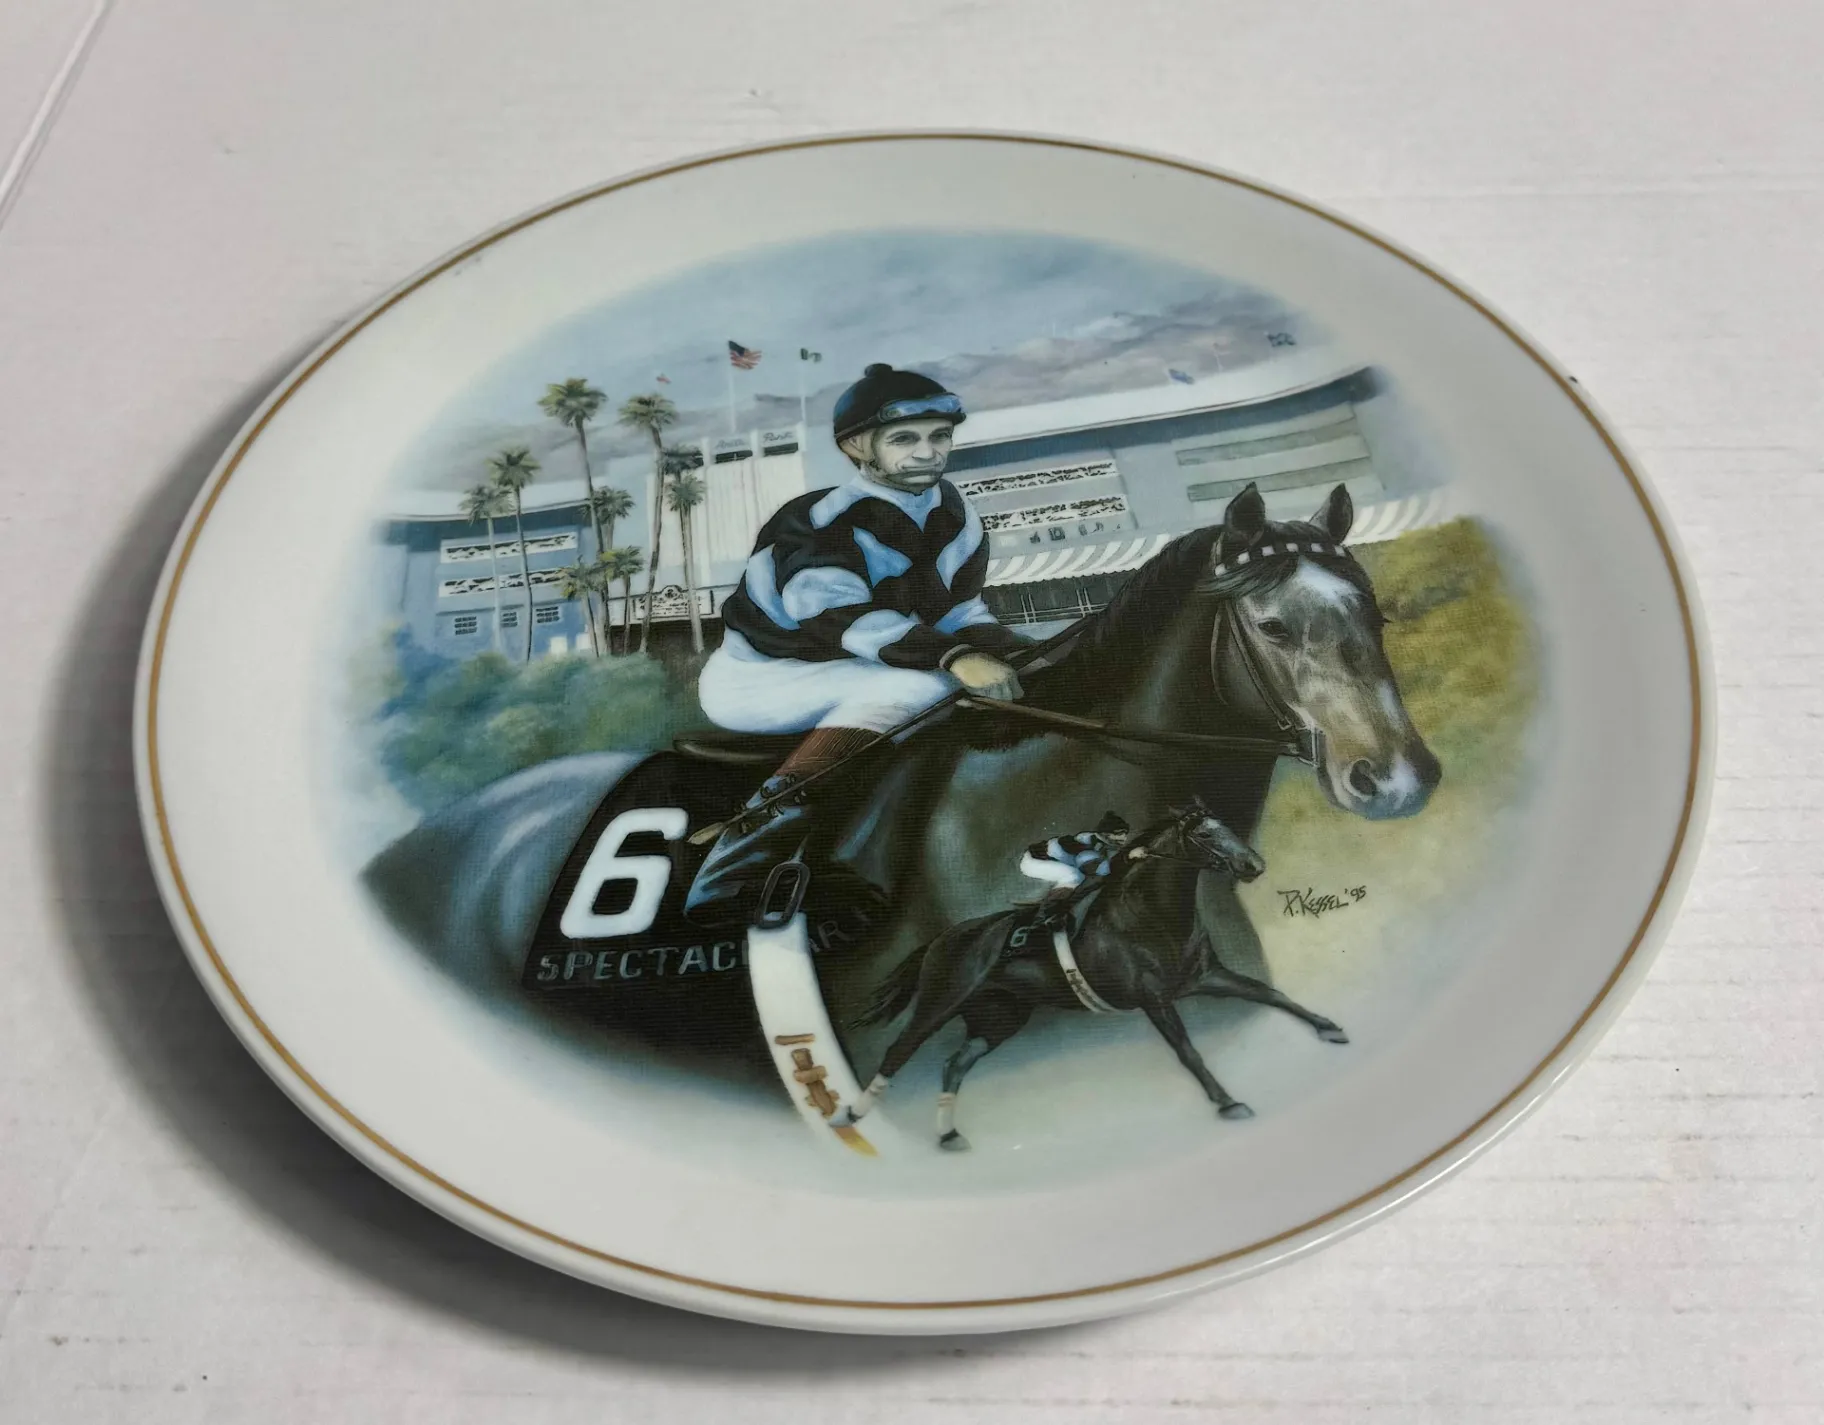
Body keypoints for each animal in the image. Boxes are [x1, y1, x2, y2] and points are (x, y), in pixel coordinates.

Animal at [840, 801, 1350, 1149]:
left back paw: (949, 1136)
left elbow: (1270, 993)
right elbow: (1188, 1052)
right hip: (941, 1000)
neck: (1152, 915)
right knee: (899, 1050)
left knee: (955, 1063)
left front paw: (1329, 1028)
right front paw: (1228, 1103)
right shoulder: (1154, 998)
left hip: (999, 1017)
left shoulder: (1205, 978)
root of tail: (940, 939)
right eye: (1205, 835)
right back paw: (852, 1114)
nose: (1254, 865)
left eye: (1225, 825)